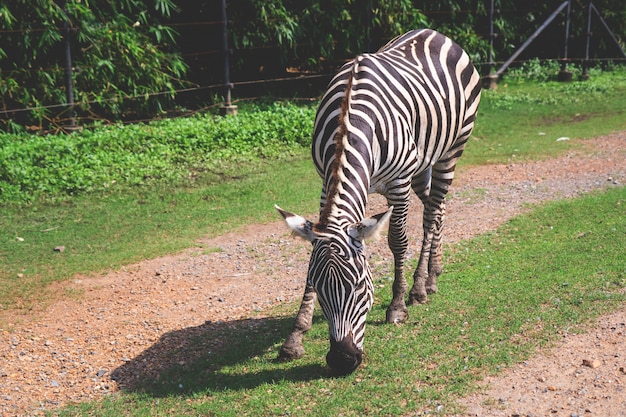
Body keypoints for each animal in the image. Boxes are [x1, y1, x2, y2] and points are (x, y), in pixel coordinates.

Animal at [272, 29, 478, 374]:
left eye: (359, 286)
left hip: (451, 151)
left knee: (433, 212)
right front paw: (295, 336)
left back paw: (420, 287)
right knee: (437, 209)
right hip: (422, 164)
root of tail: (434, 33)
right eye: (320, 287)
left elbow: (398, 241)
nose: (342, 361)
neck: (350, 123)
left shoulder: (398, 184)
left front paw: (397, 307)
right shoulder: (325, 184)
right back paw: (434, 273)